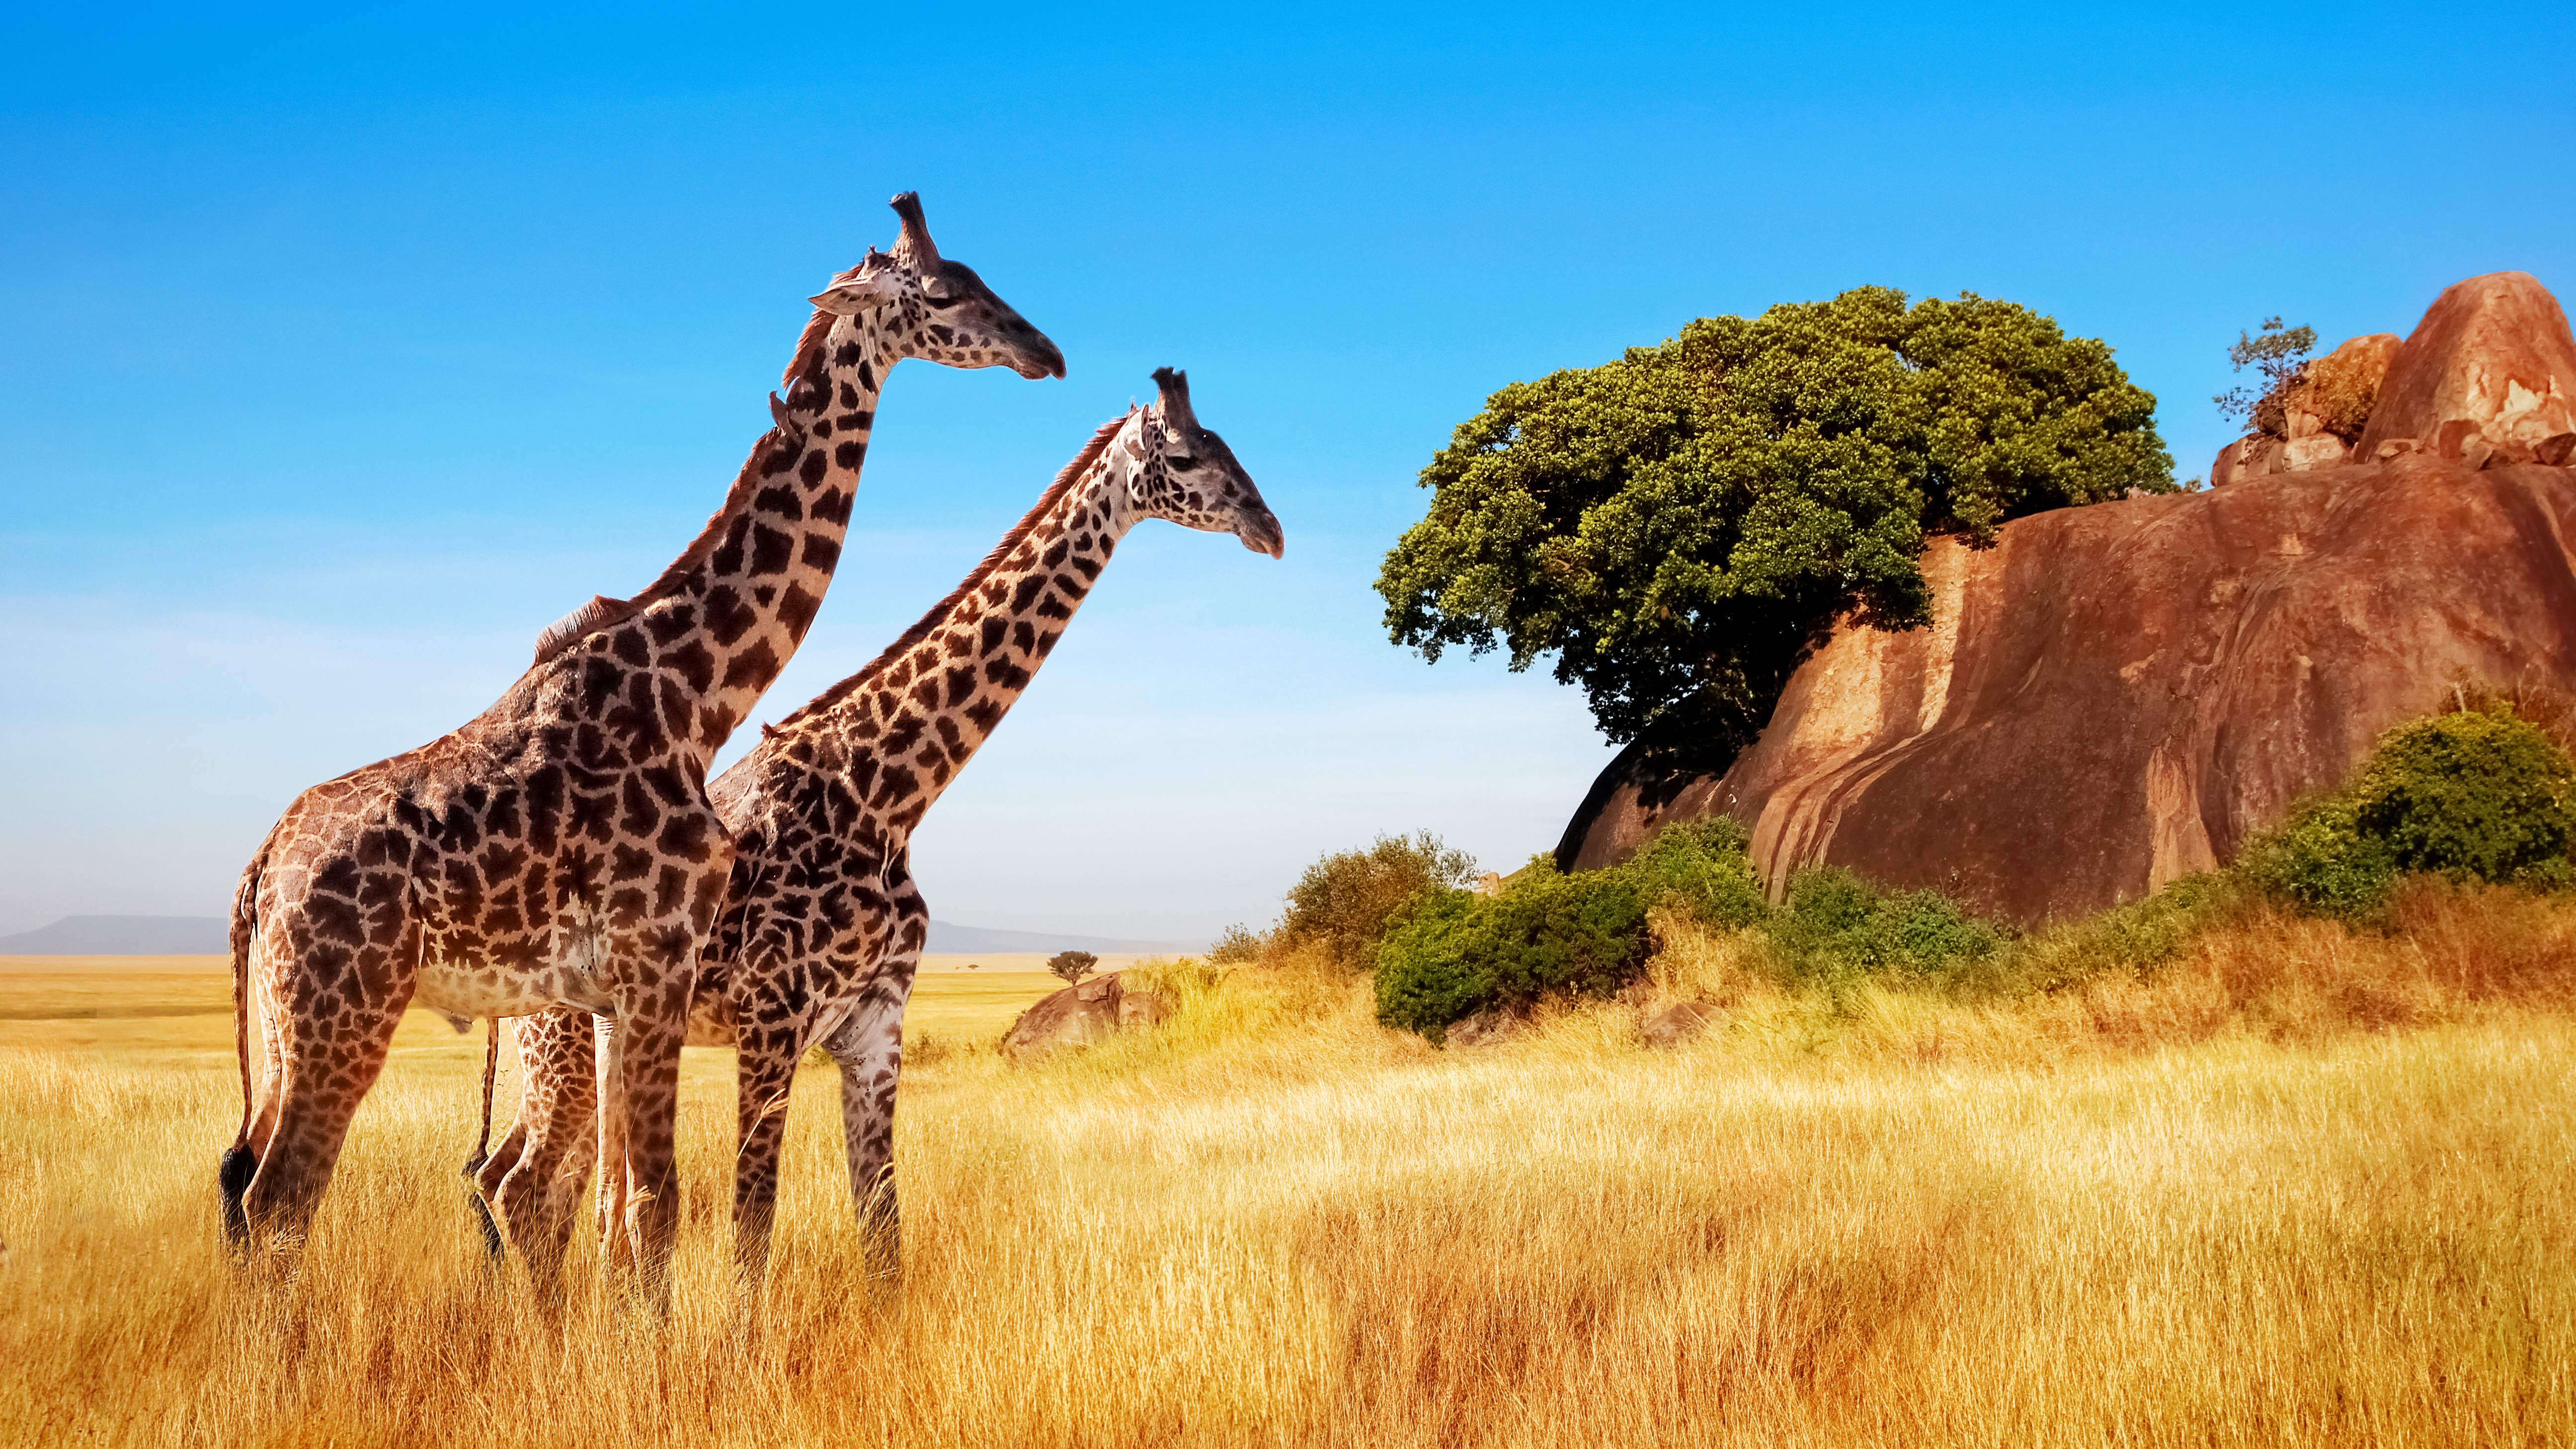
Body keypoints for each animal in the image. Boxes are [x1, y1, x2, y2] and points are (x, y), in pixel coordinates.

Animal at [219, 193, 1063, 1309]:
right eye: (943, 291)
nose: (1045, 352)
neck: (693, 694)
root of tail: (260, 871)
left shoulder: (629, 989)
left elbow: (631, 1213)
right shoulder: (658, 964)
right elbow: (655, 1210)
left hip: (286, 1029)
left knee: (248, 1194)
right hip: (341, 1015)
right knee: (286, 1204)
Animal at [479, 367, 1282, 1290]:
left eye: (1228, 443)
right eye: (1187, 455)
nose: (1270, 529)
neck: (885, 794)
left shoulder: (874, 1024)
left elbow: (882, 1228)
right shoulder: (773, 1017)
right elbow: (753, 1226)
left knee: (560, 1196)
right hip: (562, 1044)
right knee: (531, 1189)